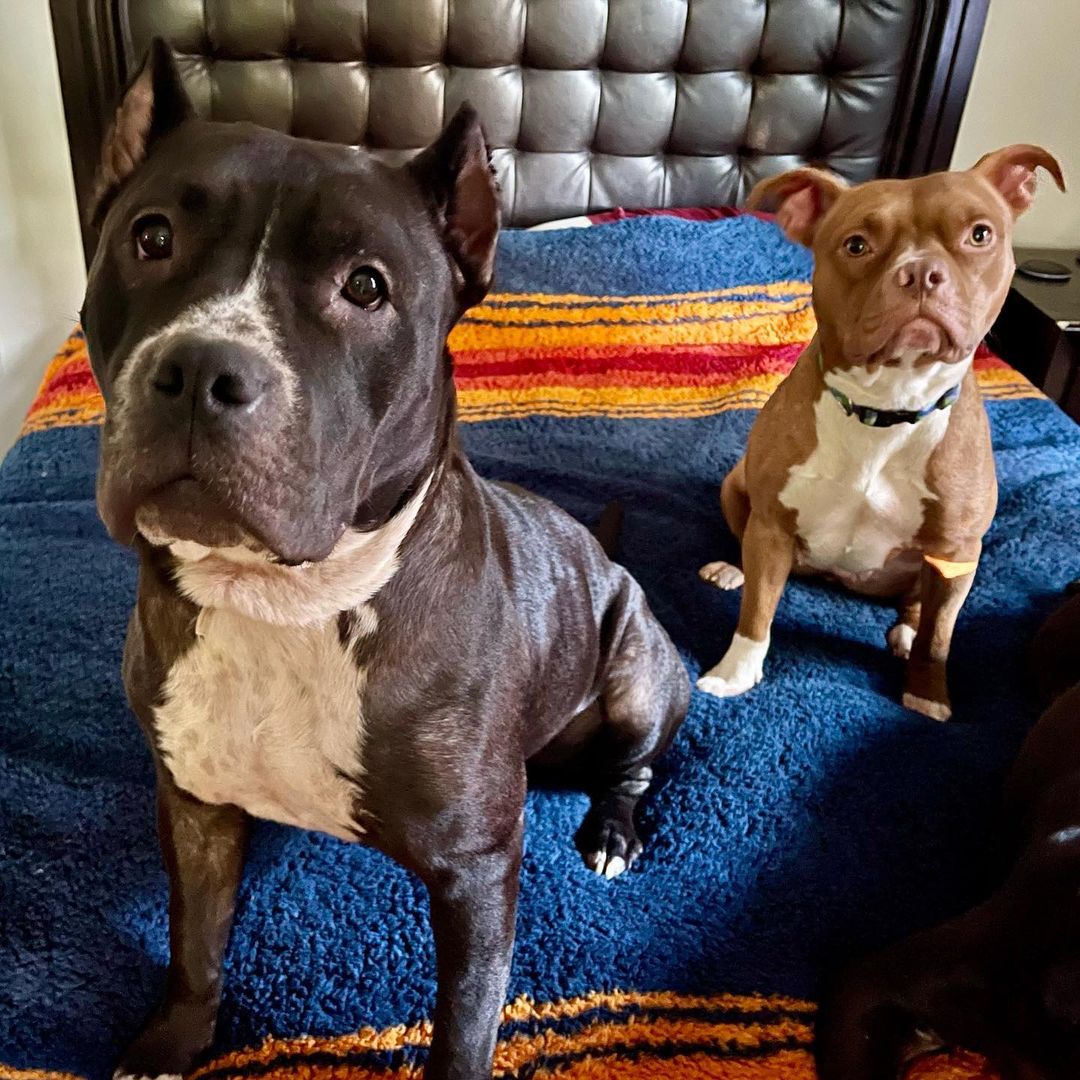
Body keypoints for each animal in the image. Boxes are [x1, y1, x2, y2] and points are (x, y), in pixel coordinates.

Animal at [84, 42, 691, 1080]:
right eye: (150, 236)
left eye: (365, 287)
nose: (200, 369)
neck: (281, 600)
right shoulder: (193, 802)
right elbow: (196, 939)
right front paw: (173, 1039)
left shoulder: (476, 873)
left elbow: (464, 1023)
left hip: (642, 675)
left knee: (636, 766)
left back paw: (613, 831)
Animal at [699, 143, 1062, 717]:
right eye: (857, 245)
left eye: (980, 234)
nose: (920, 272)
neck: (886, 406)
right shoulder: (773, 523)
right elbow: (757, 611)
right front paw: (734, 674)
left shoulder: (956, 553)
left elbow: (940, 635)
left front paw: (928, 695)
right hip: (737, 487)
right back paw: (732, 570)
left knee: (920, 609)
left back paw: (906, 635)